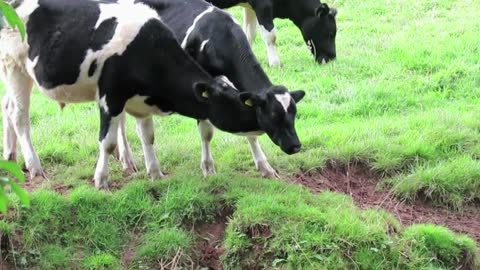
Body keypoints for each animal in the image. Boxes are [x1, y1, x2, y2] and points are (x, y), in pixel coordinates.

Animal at [0, 0, 306, 188]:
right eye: (271, 113)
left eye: (293, 114)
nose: (295, 145)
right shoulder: (110, 96)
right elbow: (107, 141)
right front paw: (101, 179)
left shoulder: (138, 99)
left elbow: (147, 135)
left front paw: (155, 172)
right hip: (15, 65)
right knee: (19, 114)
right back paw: (34, 165)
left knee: (6, 106)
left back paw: (11, 156)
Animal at [205, 0, 338, 66]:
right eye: (330, 33)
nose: (332, 57)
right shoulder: (264, 6)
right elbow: (270, 36)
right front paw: (275, 63)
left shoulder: (250, 8)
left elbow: (249, 33)